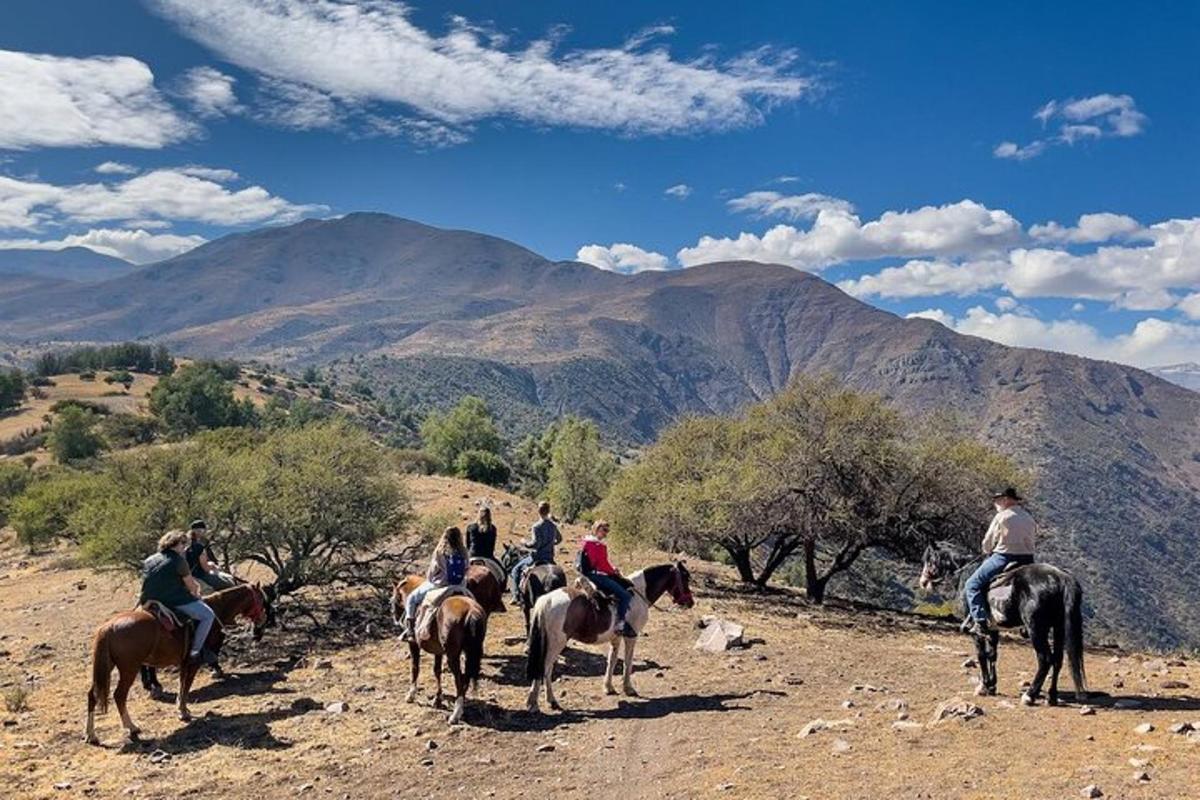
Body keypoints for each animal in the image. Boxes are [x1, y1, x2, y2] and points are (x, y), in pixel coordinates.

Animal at [85, 582, 268, 743]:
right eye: (261, 598)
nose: (262, 621)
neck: (216, 611)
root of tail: (108, 628)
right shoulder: (193, 662)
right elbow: (186, 685)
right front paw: (183, 712)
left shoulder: (184, 663)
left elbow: (182, 684)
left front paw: (182, 708)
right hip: (129, 669)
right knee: (119, 695)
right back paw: (132, 727)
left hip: (107, 667)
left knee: (92, 695)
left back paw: (91, 735)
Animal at [388, 568, 492, 724]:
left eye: (393, 598)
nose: (394, 617)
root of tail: (471, 611)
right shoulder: (438, 651)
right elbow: (437, 671)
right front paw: (437, 698)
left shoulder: (413, 645)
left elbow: (415, 668)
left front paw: (411, 695)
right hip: (470, 652)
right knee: (466, 677)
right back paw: (461, 706)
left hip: (453, 656)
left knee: (459, 678)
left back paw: (455, 714)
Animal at [525, 563, 696, 714]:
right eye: (685, 577)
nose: (690, 603)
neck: (639, 593)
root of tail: (546, 600)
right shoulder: (631, 637)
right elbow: (628, 662)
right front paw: (628, 688)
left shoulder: (616, 638)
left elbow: (612, 661)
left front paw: (608, 687)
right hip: (556, 644)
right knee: (545, 669)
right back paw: (544, 702)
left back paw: (540, 701)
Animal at [916, 544, 1089, 705]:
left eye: (930, 560)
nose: (923, 582)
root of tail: (1062, 578)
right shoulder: (993, 628)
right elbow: (992, 654)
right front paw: (992, 686)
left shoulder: (976, 631)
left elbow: (981, 654)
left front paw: (983, 686)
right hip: (1058, 627)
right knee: (1058, 660)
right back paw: (1051, 696)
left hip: (1036, 629)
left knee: (1045, 659)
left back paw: (1030, 695)